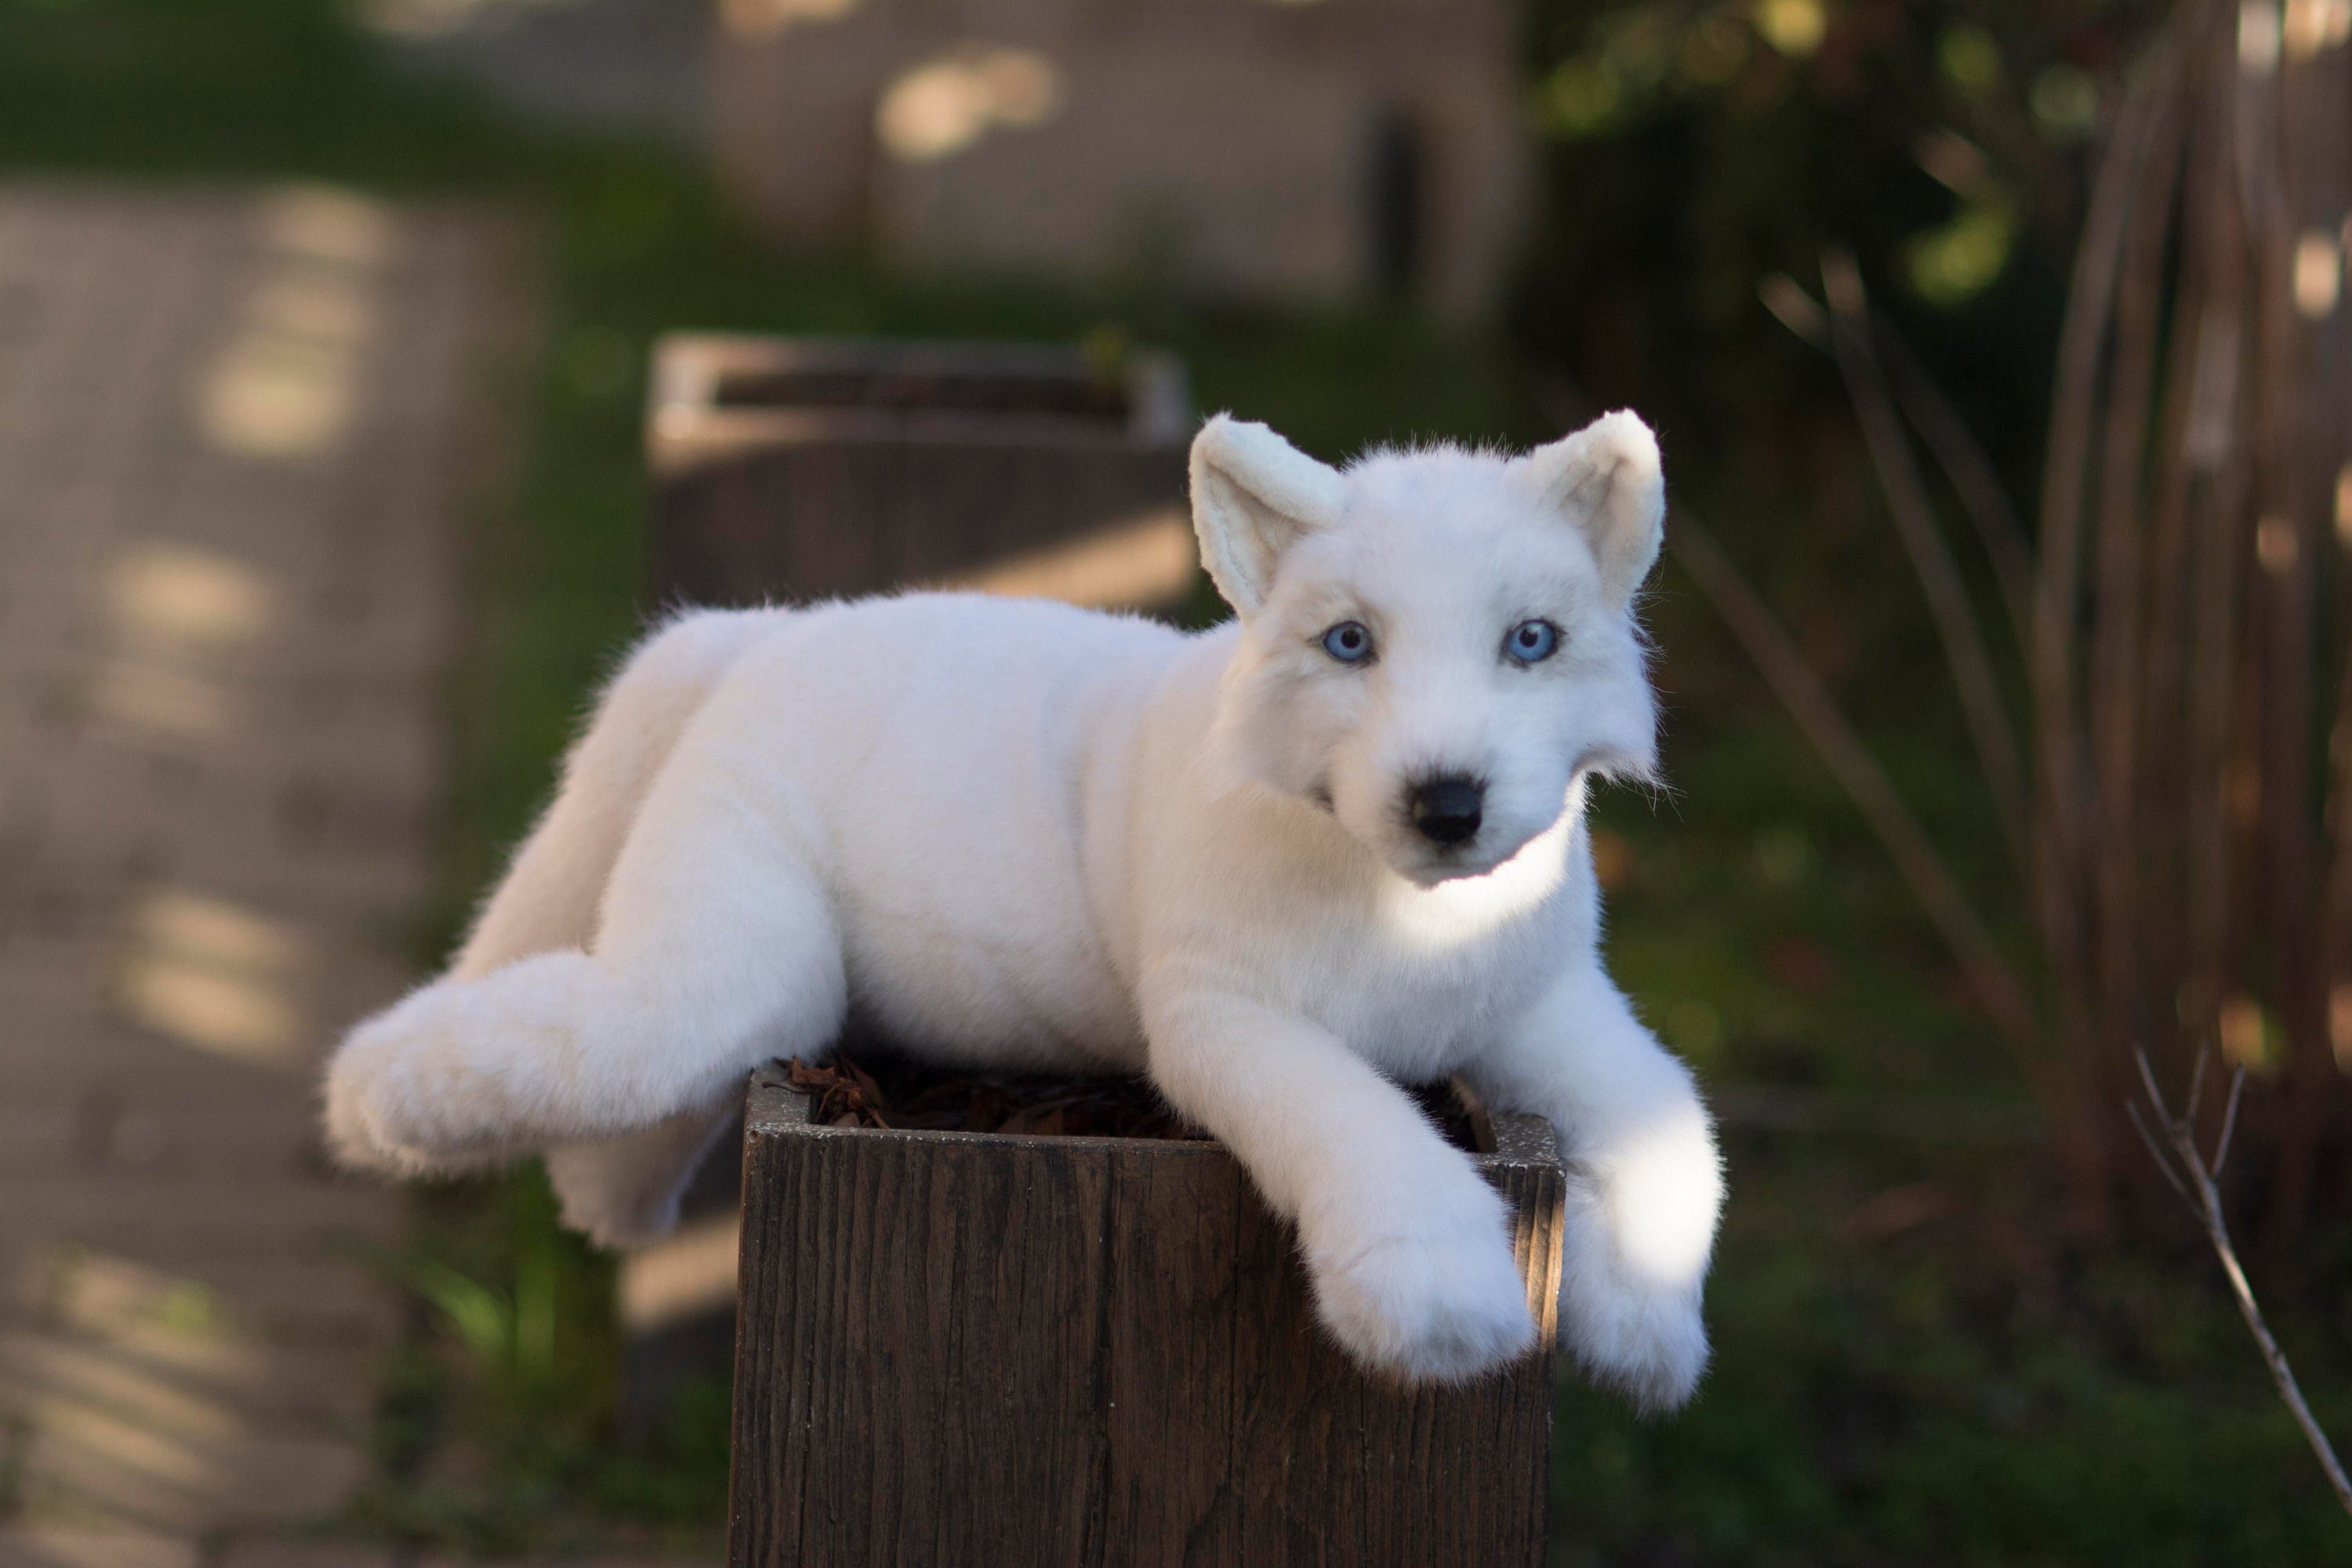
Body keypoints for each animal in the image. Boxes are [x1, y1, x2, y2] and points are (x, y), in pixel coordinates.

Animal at [324, 410, 1724, 1409]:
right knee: (574, 1038)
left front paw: (1644, 1332)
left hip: (751, 988)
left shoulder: (1551, 1010)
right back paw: (368, 1097)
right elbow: (1362, 1128)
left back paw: (587, 1201)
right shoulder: (1227, 1025)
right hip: (720, 964)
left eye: (1530, 642)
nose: (1448, 802)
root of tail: (757, 631)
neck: (1412, 923)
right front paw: (1446, 1310)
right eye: (1349, 645)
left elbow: (1674, 1131)